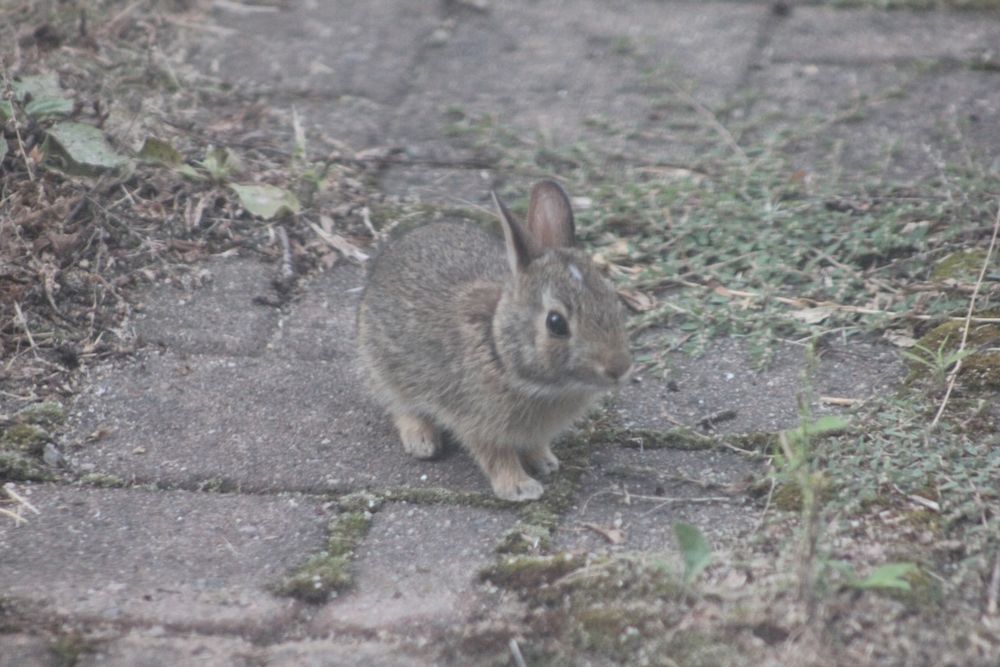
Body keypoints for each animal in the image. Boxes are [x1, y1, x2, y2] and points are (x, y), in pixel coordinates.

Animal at [356, 180, 632, 501]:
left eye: (613, 298)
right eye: (556, 323)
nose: (619, 368)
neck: (500, 352)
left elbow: (533, 445)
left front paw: (546, 462)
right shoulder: (476, 422)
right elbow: (496, 456)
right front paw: (519, 487)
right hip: (384, 367)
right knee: (401, 406)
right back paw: (422, 442)